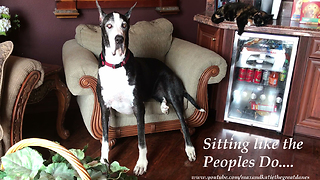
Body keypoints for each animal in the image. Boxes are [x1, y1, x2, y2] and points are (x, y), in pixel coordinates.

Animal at [95, 0, 205, 175]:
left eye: (124, 25)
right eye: (109, 25)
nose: (119, 39)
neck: (116, 66)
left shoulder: (138, 108)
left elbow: (141, 140)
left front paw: (141, 164)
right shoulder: (105, 109)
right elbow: (105, 140)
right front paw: (103, 162)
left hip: (172, 92)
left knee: (183, 123)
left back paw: (189, 149)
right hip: (154, 91)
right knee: (162, 98)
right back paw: (164, 107)